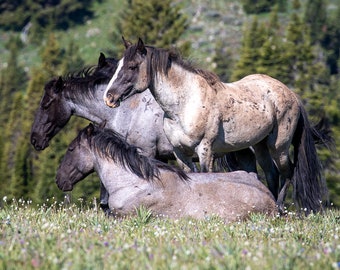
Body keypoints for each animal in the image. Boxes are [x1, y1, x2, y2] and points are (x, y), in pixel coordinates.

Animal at [104, 38, 330, 213]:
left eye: (132, 67)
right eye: (118, 66)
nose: (109, 97)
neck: (186, 103)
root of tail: (291, 94)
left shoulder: (205, 150)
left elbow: (206, 176)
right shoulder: (180, 153)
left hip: (278, 146)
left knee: (287, 171)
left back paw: (280, 207)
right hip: (260, 146)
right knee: (272, 174)